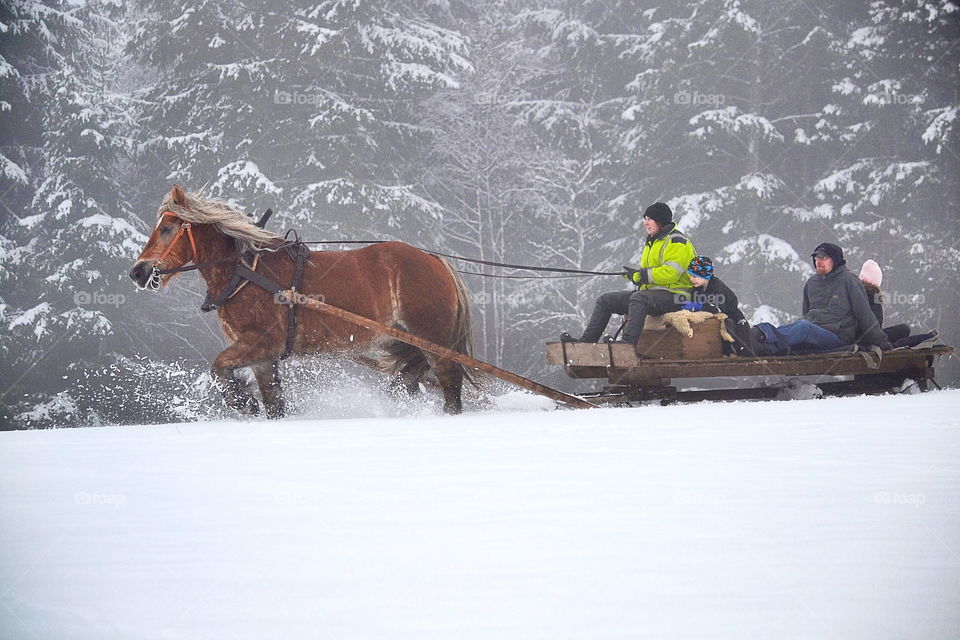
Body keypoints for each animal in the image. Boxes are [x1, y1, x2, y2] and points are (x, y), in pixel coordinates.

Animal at [131, 185, 476, 416]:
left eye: (167, 228)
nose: (139, 272)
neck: (245, 271)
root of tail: (435, 260)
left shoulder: (261, 342)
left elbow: (218, 368)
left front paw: (243, 401)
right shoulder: (263, 357)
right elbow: (273, 403)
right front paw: (252, 402)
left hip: (434, 342)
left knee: (450, 389)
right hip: (403, 340)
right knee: (411, 375)